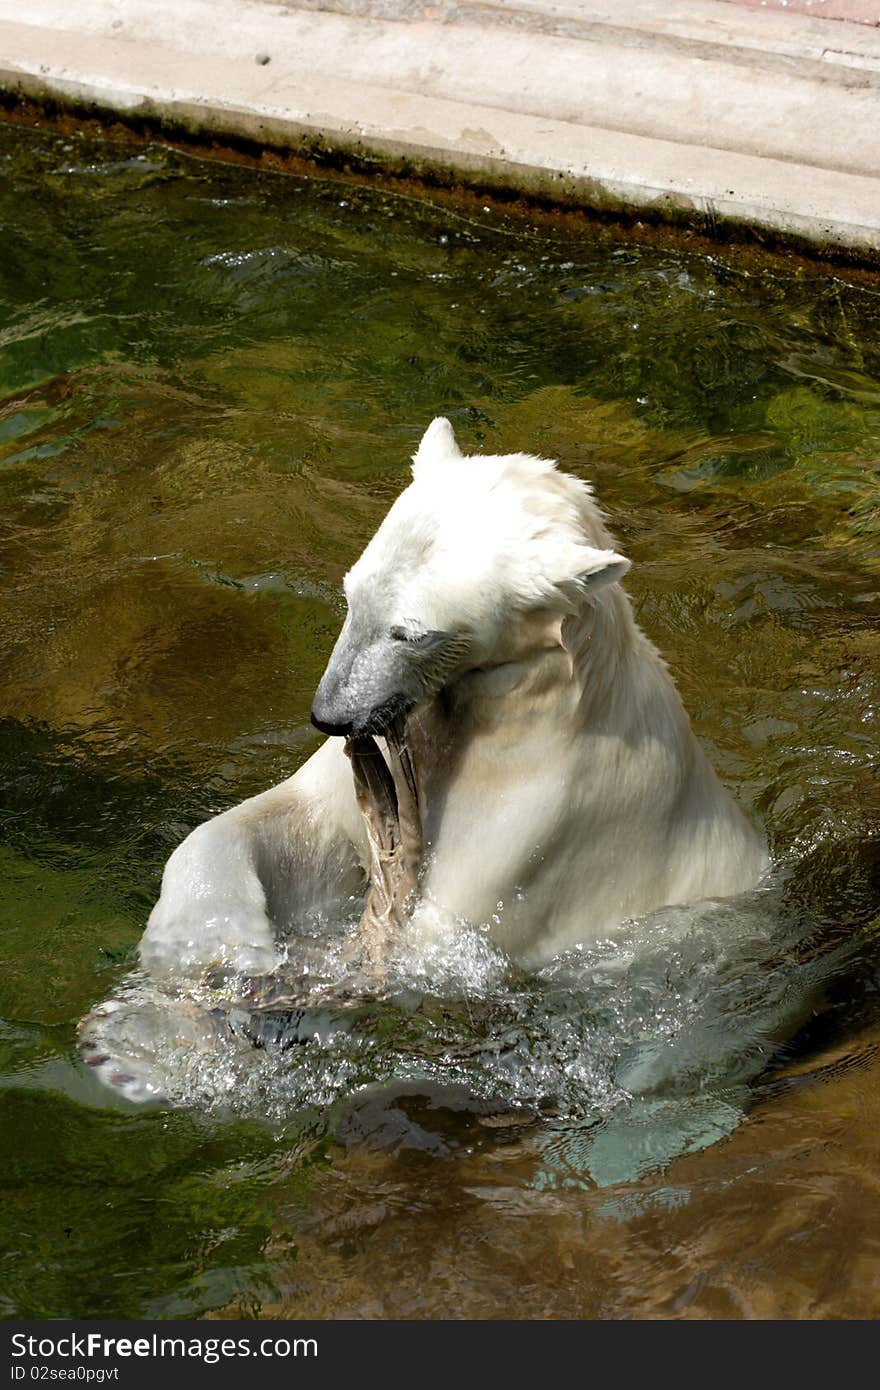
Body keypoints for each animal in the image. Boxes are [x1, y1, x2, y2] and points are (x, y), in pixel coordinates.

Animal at [140, 422, 767, 978]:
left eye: (411, 632)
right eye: (350, 592)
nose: (331, 716)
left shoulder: (539, 828)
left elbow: (431, 945)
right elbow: (303, 820)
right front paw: (210, 938)